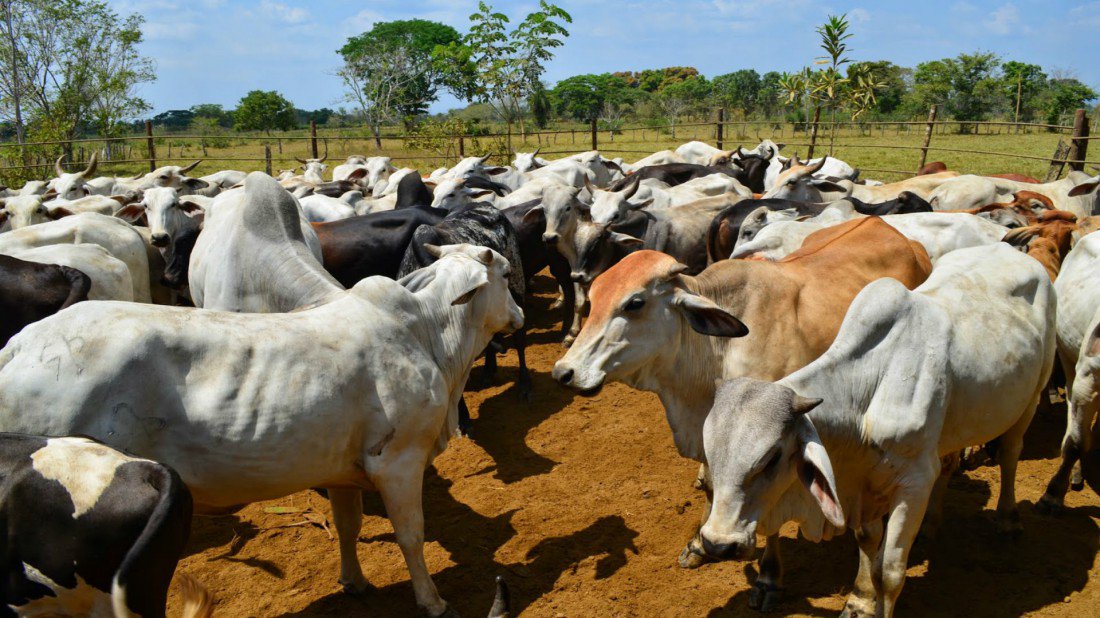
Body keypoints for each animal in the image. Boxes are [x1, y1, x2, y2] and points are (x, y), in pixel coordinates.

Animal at [550, 215, 928, 607]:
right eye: (593, 297)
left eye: (635, 303)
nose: (564, 372)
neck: (713, 353)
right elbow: (712, 485)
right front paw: (699, 545)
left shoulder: (778, 440)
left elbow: (771, 516)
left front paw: (768, 577)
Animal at [699, 243, 1051, 615]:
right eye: (709, 453)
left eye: (771, 458)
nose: (717, 544)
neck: (867, 396)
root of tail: (1012, 249)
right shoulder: (865, 483)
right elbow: (867, 541)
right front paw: (861, 601)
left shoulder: (914, 483)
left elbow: (891, 573)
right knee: (951, 462)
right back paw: (932, 524)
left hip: (1032, 396)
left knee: (1011, 453)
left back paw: (1008, 519)